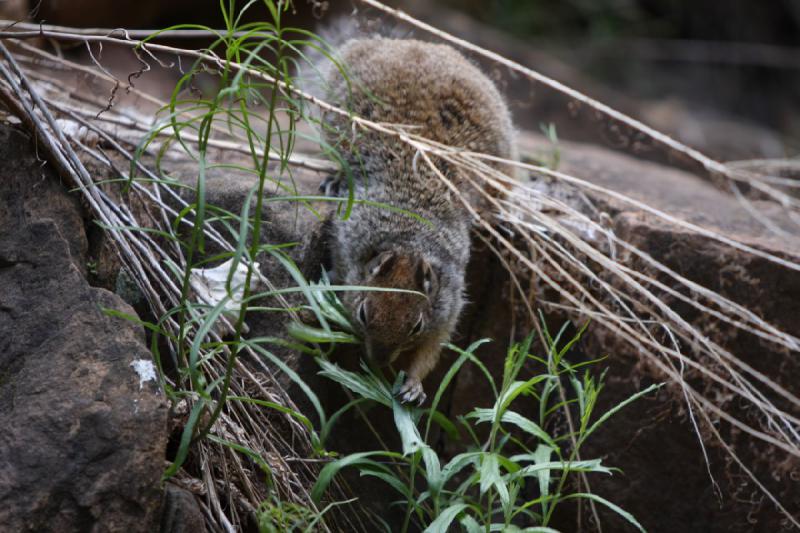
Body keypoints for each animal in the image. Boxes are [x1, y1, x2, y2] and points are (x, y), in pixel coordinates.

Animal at [310, 31, 516, 402]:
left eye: (416, 325)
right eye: (363, 313)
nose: (378, 361)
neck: (409, 242)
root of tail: (418, 45)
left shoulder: (448, 301)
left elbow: (433, 348)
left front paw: (414, 385)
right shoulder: (347, 249)